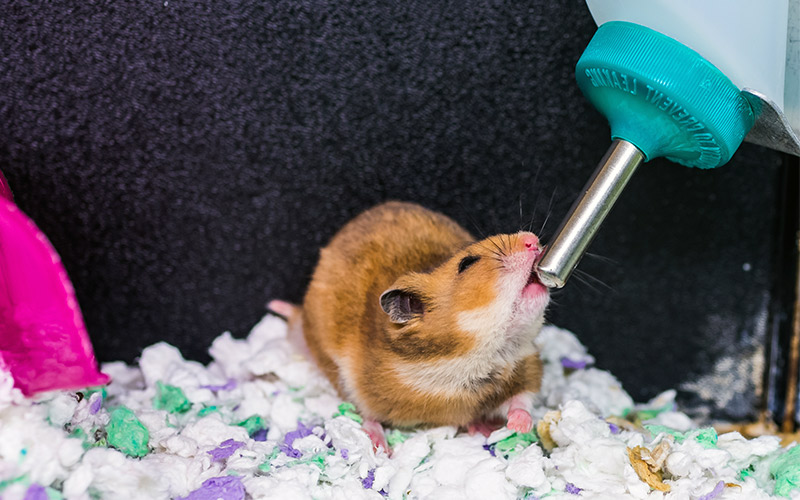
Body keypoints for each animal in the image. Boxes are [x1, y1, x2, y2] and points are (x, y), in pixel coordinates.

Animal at [272, 201, 548, 436]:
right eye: (467, 263)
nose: (532, 241)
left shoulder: (526, 366)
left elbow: (521, 400)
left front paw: (518, 427)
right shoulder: (360, 384)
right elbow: (366, 412)